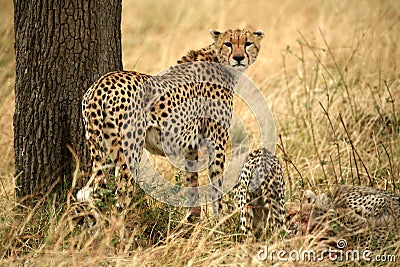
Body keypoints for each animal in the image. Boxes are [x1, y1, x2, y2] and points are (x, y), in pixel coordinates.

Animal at [79, 29, 264, 218]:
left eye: (248, 43)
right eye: (228, 44)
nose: (239, 57)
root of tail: (102, 82)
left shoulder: (190, 147)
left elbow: (192, 183)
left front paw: (192, 218)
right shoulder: (216, 144)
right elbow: (216, 186)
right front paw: (219, 220)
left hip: (101, 147)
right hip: (129, 152)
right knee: (121, 197)